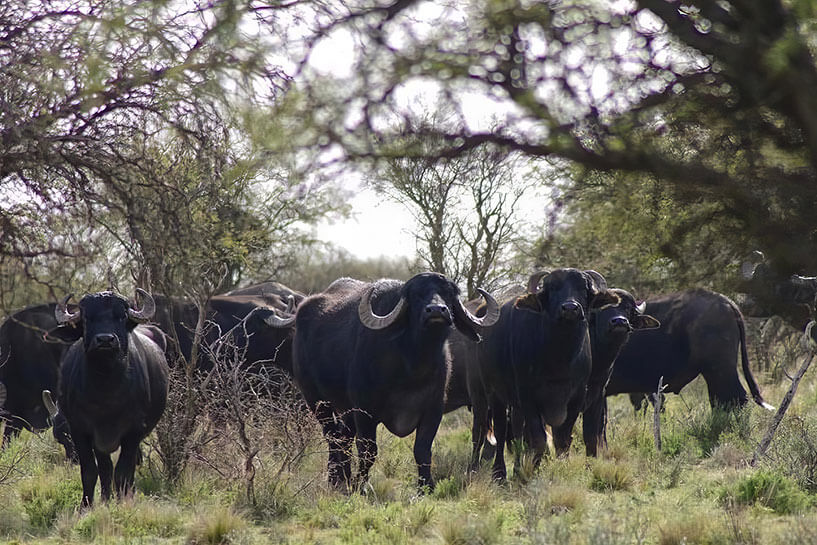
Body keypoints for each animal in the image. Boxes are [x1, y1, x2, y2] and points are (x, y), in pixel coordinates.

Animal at [51, 290, 169, 507]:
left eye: (121, 316)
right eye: (87, 318)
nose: (105, 340)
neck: (106, 393)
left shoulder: (133, 432)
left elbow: (123, 472)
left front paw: (122, 503)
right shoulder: (80, 430)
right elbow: (91, 471)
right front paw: (87, 506)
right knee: (105, 469)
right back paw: (106, 498)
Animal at [293, 272, 499, 490]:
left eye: (449, 294)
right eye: (416, 295)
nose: (436, 310)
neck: (412, 368)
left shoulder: (433, 410)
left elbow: (422, 450)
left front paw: (426, 486)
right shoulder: (364, 411)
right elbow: (368, 450)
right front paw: (362, 486)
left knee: (343, 438)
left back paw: (344, 478)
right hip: (316, 401)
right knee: (332, 436)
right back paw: (336, 479)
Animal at [606, 288, 774, 412]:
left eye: (628, 310)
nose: (620, 322)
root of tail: (725, 301)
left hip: (721, 370)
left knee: (737, 399)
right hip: (713, 374)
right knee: (720, 401)